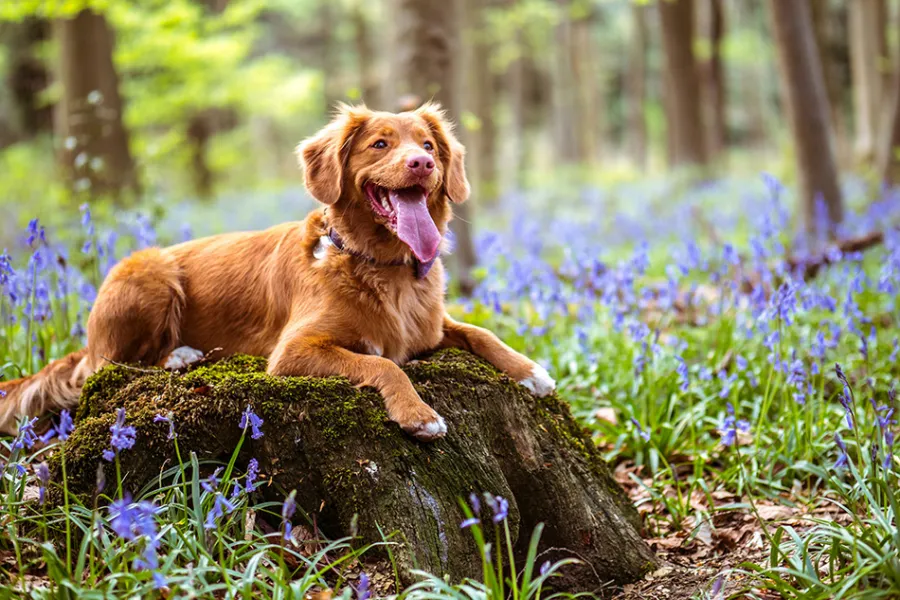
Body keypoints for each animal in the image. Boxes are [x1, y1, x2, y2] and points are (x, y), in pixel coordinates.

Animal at [0, 103, 552, 440]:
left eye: (430, 145)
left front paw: (531, 371)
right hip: (149, 272)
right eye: (380, 144)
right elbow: (384, 364)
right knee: (109, 366)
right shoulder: (293, 352)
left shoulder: (431, 328)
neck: (381, 266)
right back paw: (179, 355)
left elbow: (480, 332)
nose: (422, 164)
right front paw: (419, 414)